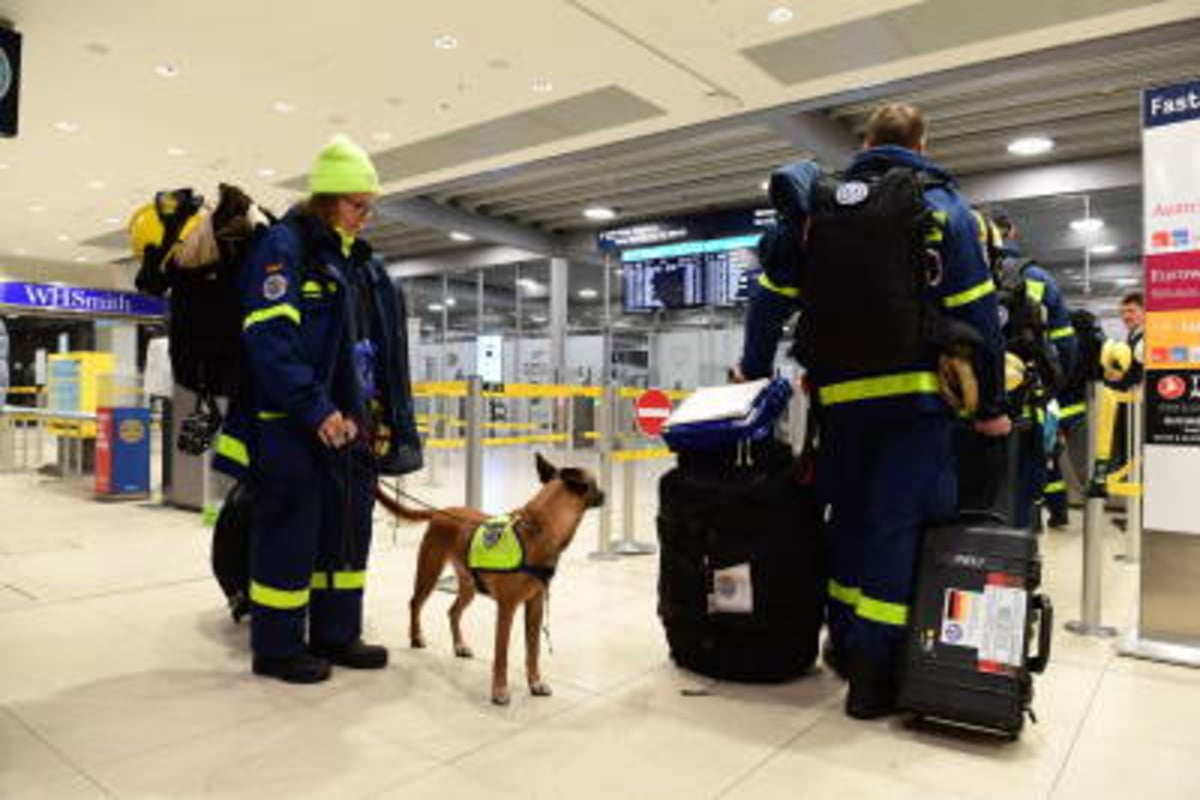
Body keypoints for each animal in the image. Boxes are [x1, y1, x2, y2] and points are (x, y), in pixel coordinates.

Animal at [374, 453, 604, 705]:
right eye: (594, 484)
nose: (605, 494)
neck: (540, 529)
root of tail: (440, 512)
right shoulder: (507, 608)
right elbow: (501, 653)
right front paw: (499, 691)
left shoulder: (535, 606)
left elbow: (533, 650)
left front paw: (535, 683)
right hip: (429, 573)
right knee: (415, 603)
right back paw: (416, 637)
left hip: (469, 587)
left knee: (452, 612)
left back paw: (459, 646)